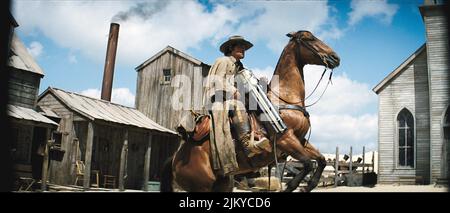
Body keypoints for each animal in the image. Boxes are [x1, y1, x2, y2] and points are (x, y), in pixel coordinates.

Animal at [160, 30, 340, 192]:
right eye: (309, 39)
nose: (335, 57)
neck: (285, 98)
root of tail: (175, 158)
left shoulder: (300, 140)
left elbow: (321, 160)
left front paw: (308, 185)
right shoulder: (285, 138)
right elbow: (308, 163)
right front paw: (293, 186)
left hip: (223, 184)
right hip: (201, 188)